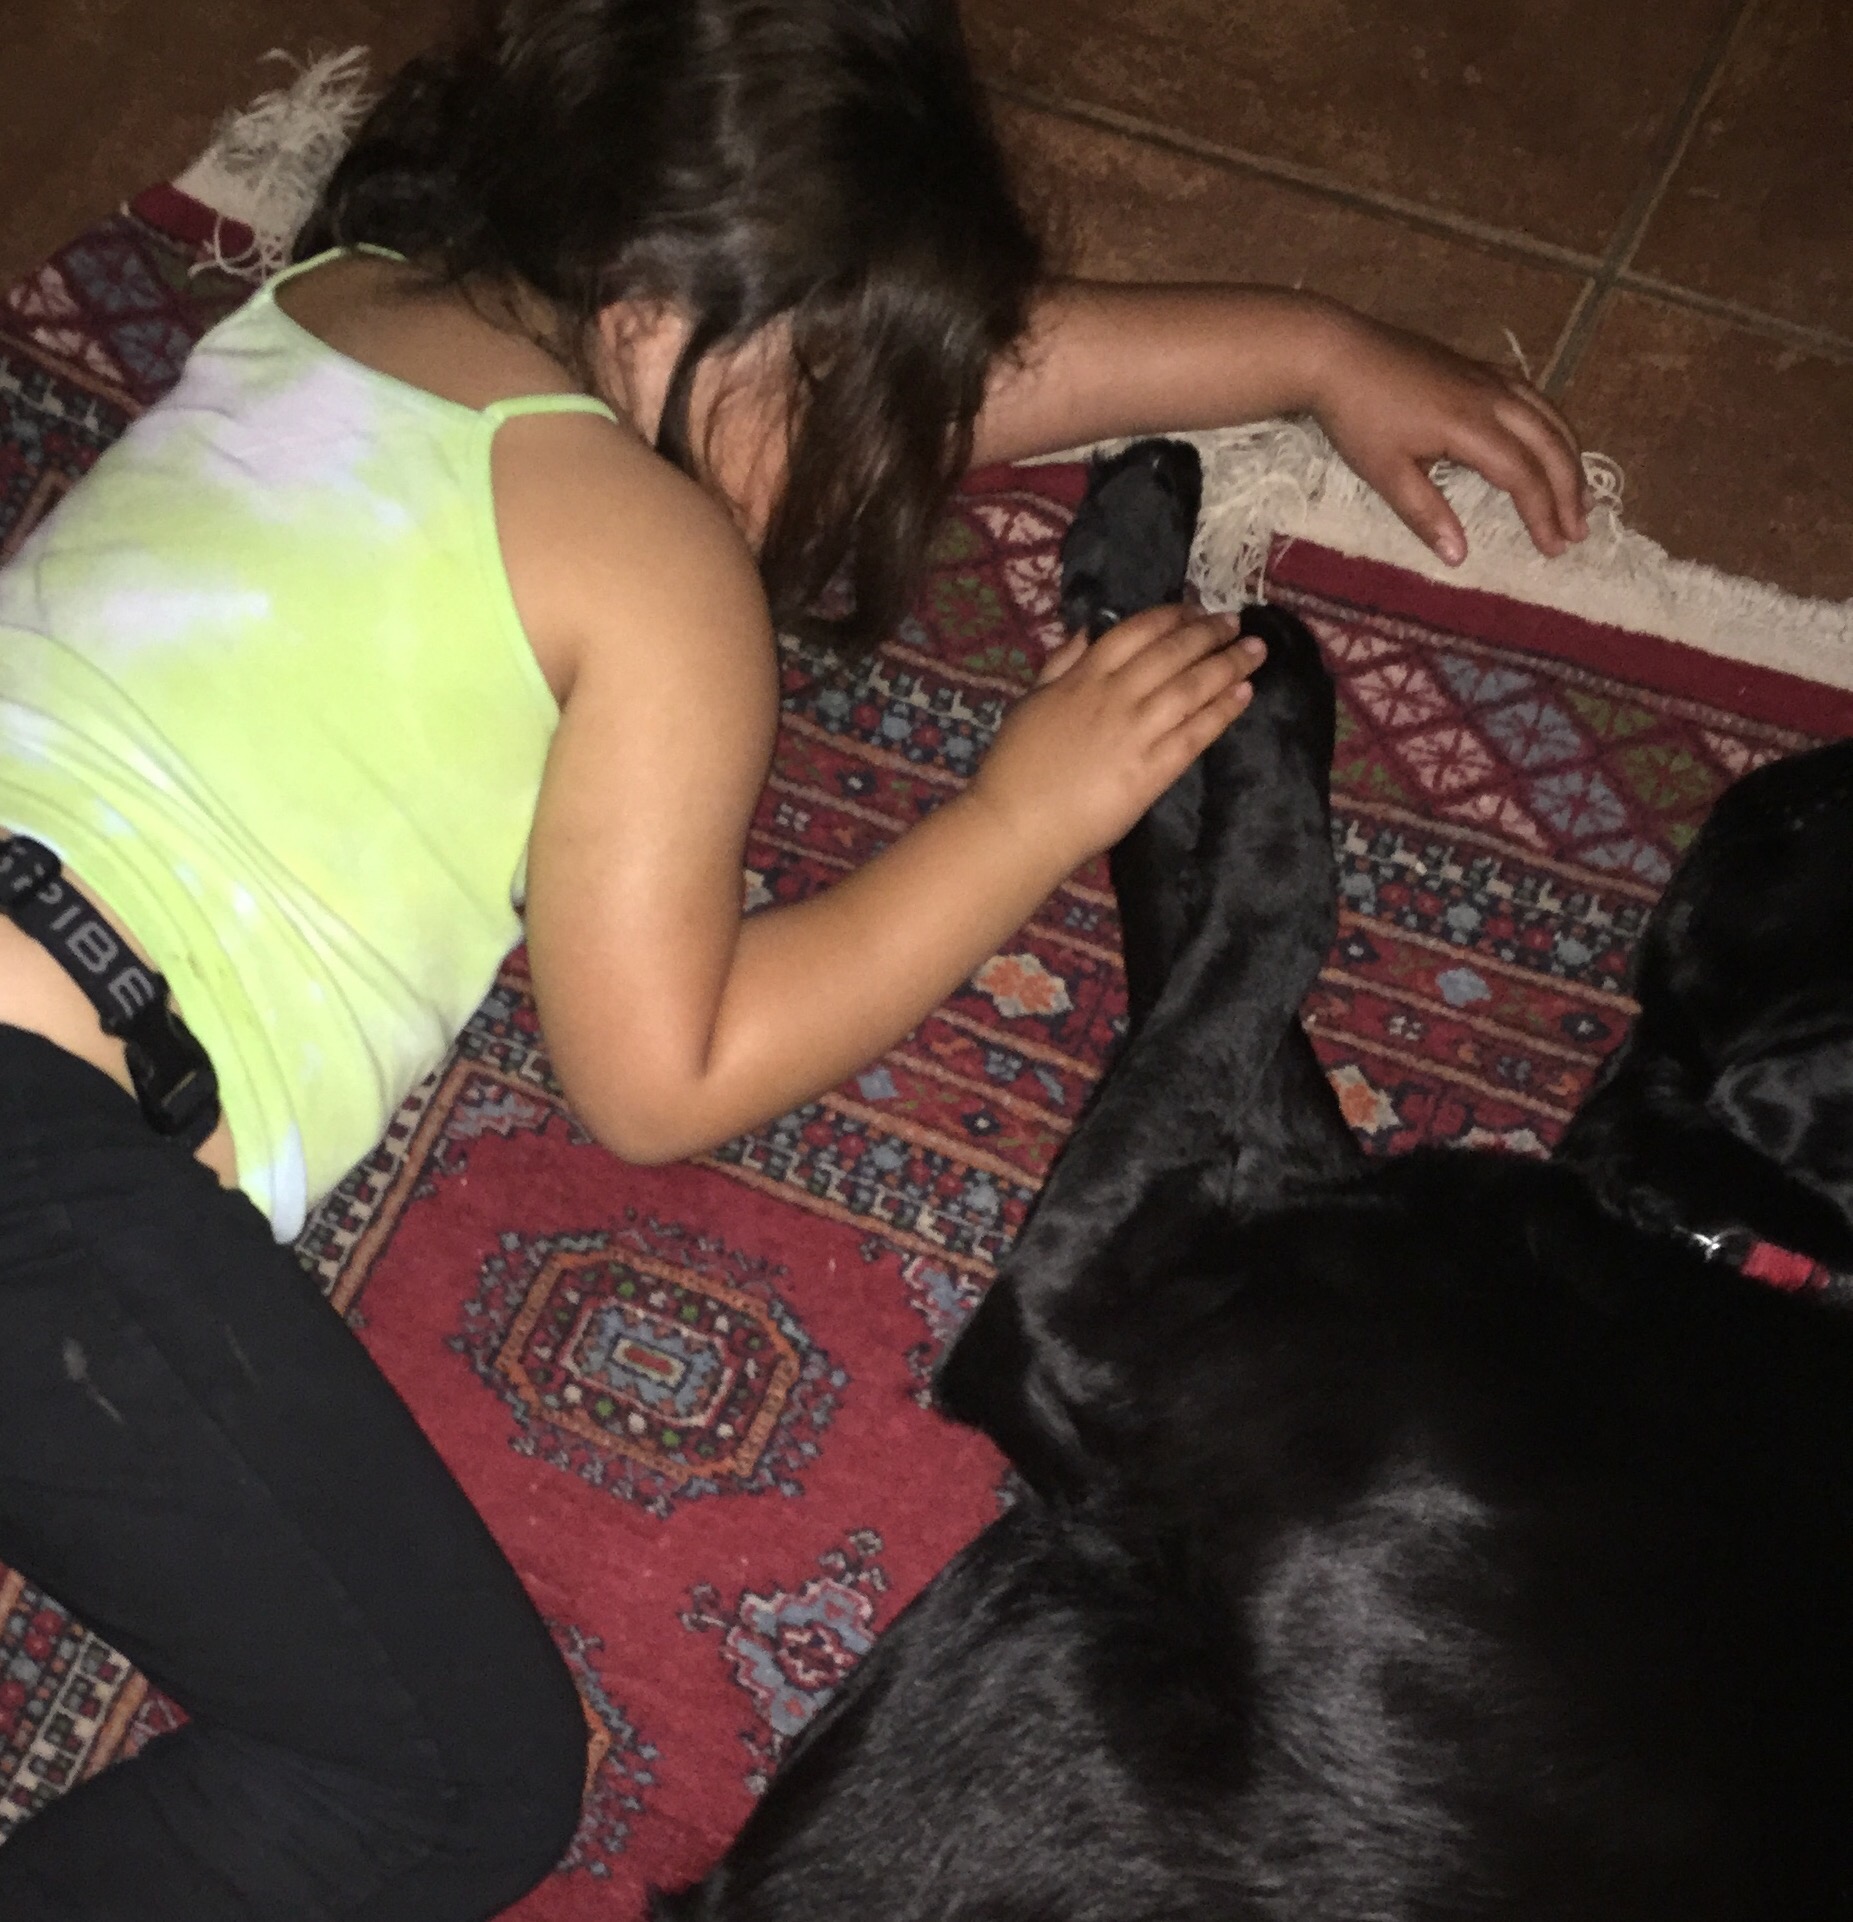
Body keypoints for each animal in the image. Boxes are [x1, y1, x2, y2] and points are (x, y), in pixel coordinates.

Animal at [656, 446, 1853, 1920]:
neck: (1739, 1242)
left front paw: (1258, 671)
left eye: (1817, 810)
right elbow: (1187, 873)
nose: (1805, 759)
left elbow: (1276, 891)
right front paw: (1138, 566)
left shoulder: (1084, 1310)